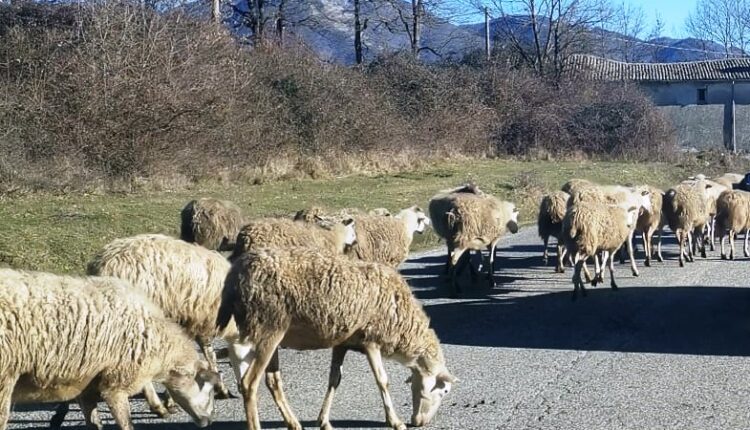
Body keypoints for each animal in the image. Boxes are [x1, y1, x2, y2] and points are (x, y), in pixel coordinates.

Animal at [1, 268, 220, 430]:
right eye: (209, 392)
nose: (208, 421)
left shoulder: (87, 381)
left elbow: (93, 420)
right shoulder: (116, 381)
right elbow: (126, 423)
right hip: (5, 377)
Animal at [214, 247, 456, 430]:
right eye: (444, 391)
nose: (420, 422)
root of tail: (236, 274)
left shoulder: (343, 343)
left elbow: (334, 380)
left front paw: (324, 421)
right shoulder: (371, 340)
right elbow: (382, 380)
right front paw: (395, 421)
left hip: (271, 335)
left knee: (273, 381)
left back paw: (293, 423)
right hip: (268, 328)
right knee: (249, 383)